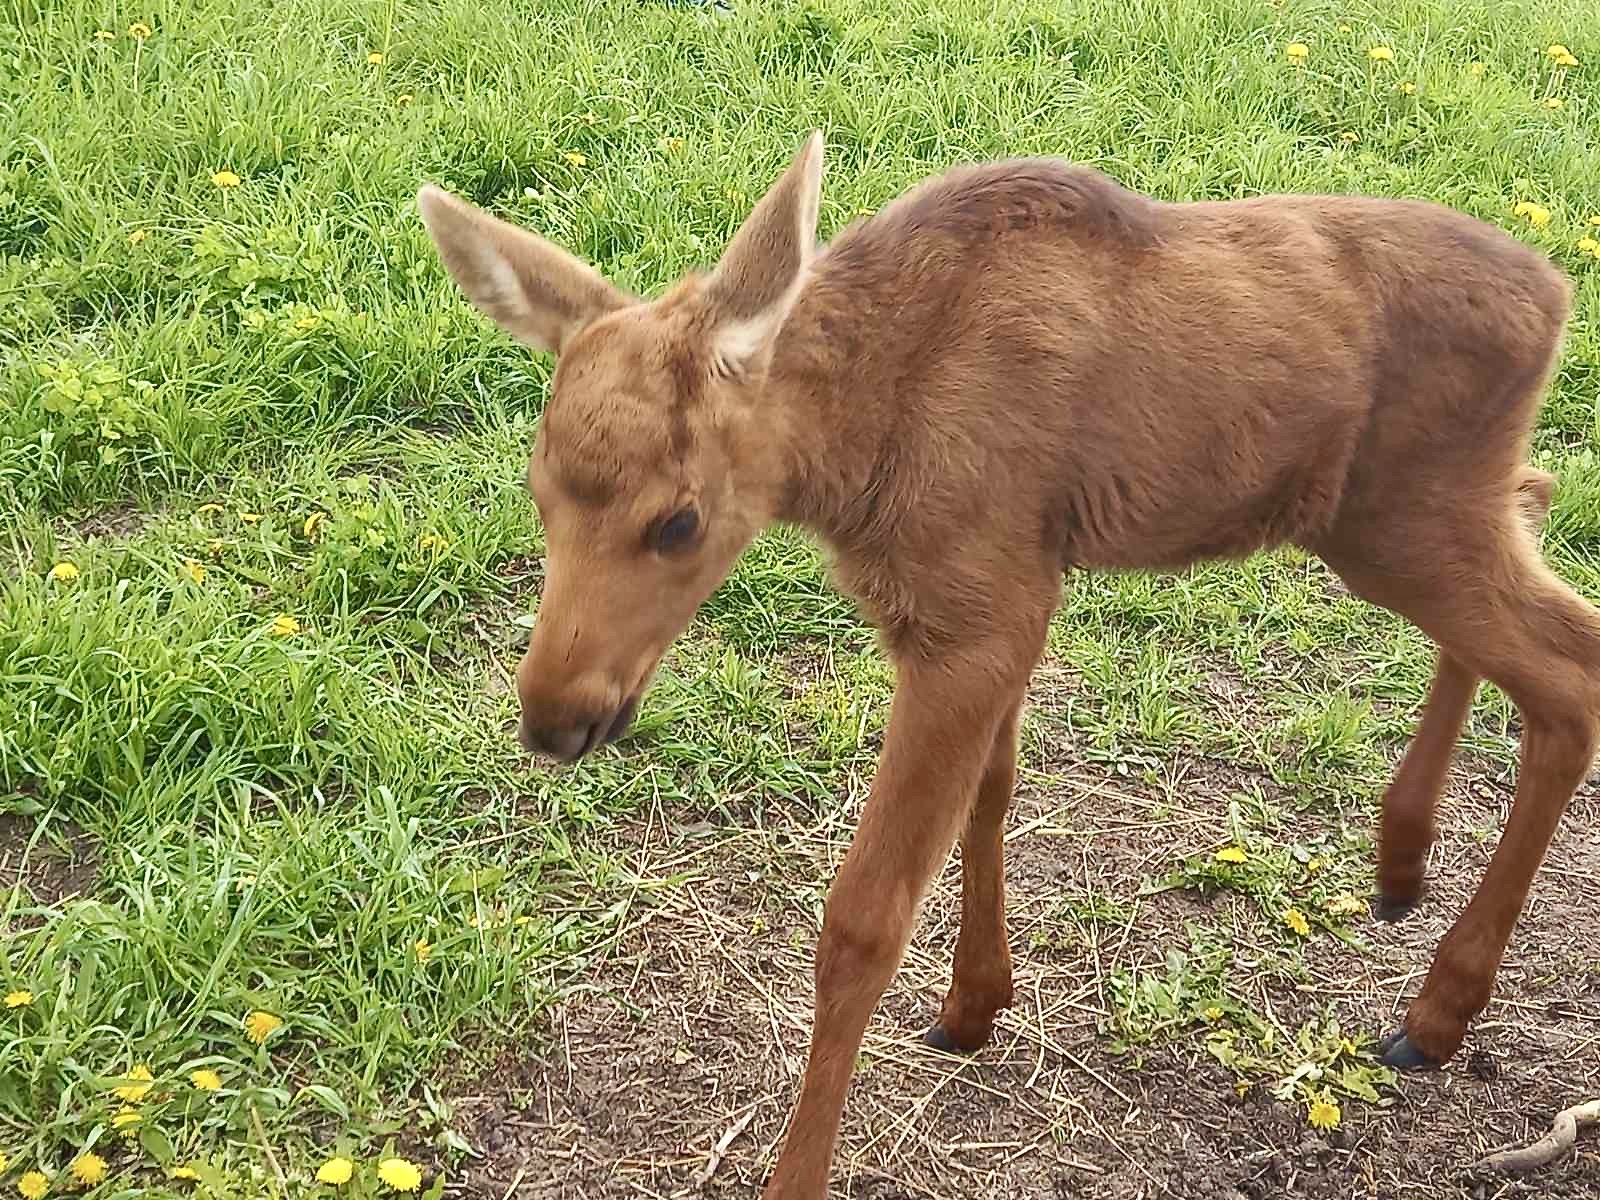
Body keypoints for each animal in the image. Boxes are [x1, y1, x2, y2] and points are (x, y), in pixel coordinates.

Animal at [419, 136, 1593, 1196]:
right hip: (1408, 521)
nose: (554, 714)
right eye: (538, 490)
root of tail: (1555, 293)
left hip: (1404, 517)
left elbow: (863, 918)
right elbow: (994, 790)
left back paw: (1438, 1009)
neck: (850, 451)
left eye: (677, 521)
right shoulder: (992, 610)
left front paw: (802, 1170)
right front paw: (977, 1000)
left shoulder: (977, 615)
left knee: (1570, 671)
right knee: (1536, 510)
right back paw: (1402, 859)